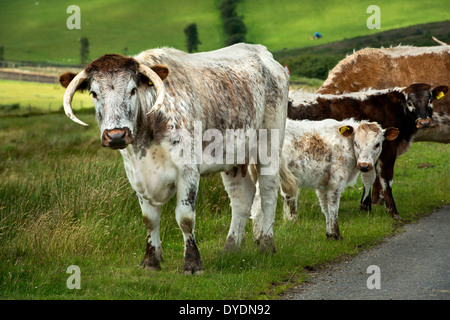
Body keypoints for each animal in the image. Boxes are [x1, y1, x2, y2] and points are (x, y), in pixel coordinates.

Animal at [59, 42, 288, 274]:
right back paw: (230, 249)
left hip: (269, 147)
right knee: (241, 197)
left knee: (268, 191)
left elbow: (185, 217)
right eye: (94, 93)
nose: (116, 135)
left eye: (133, 90)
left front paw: (193, 263)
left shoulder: (188, 171)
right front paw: (151, 261)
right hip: (234, 157)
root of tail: (263, 53)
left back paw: (267, 245)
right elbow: (149, 219)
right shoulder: (136, 174)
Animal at [251, 119, 400, 239]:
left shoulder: (322, 185)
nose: (364, 165)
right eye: (356, 143)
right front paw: (336, 234)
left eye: (377, 144)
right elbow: (333, 208)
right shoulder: (336, 182)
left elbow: (325, 208)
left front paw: (329, 234)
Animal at [288, 82, 446, 219]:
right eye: (410, 102)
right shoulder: (388, 151)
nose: (424, 122)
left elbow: (369, 177)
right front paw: (393, 212)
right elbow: (386, 180)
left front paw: (365, 207)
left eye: (430, 99)